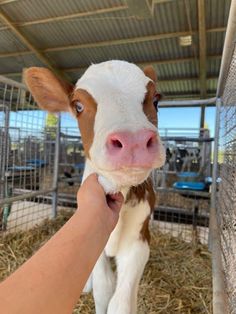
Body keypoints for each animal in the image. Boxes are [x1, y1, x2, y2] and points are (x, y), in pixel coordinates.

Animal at [24, 60, 165, 314]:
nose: (133, 141)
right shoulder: (94, 240)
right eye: (78, 106)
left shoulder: (139, 240)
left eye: (156, 100)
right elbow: (103, 289)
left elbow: (121, 303)